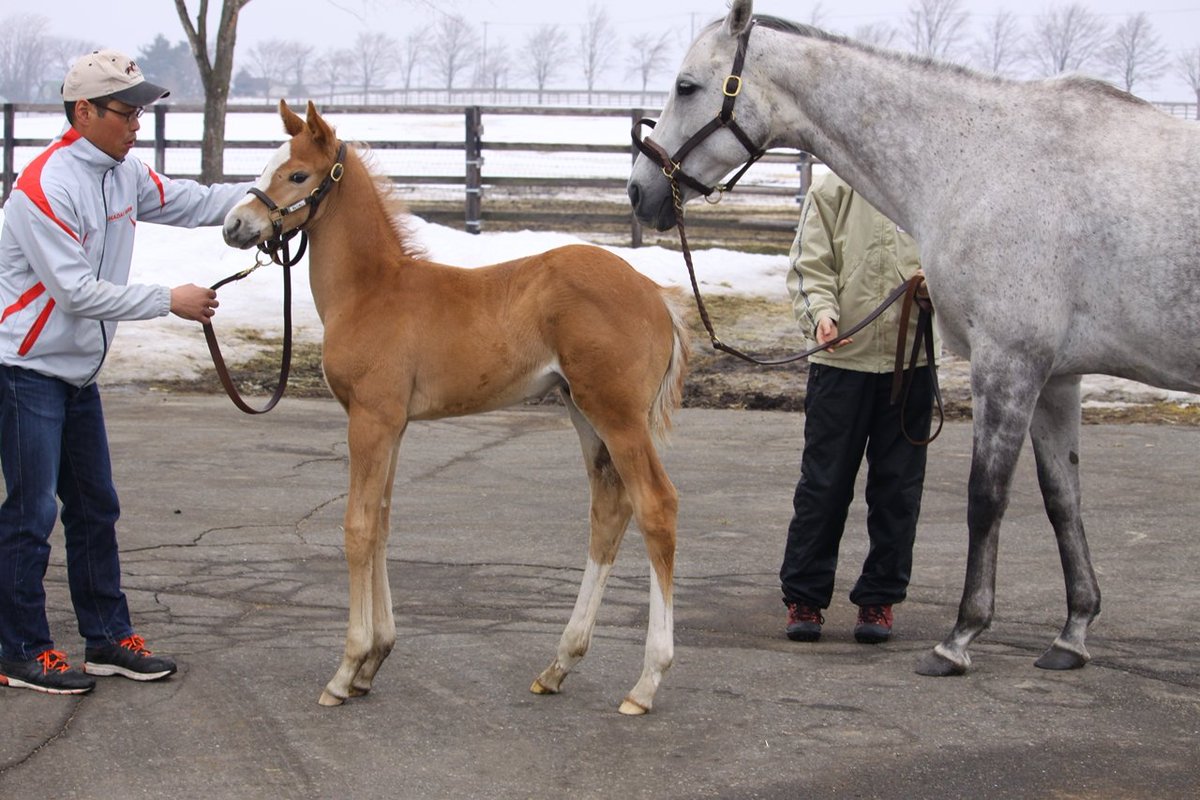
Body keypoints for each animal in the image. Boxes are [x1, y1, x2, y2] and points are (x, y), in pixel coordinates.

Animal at [628, 0, 1200, 676]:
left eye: (687, 86)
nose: (640, 190)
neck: (979, 158)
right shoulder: (1057, 376)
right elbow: (1063, 499)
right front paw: (1073, 633)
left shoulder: (1008, 364)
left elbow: (986, 497)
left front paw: (960, 637)